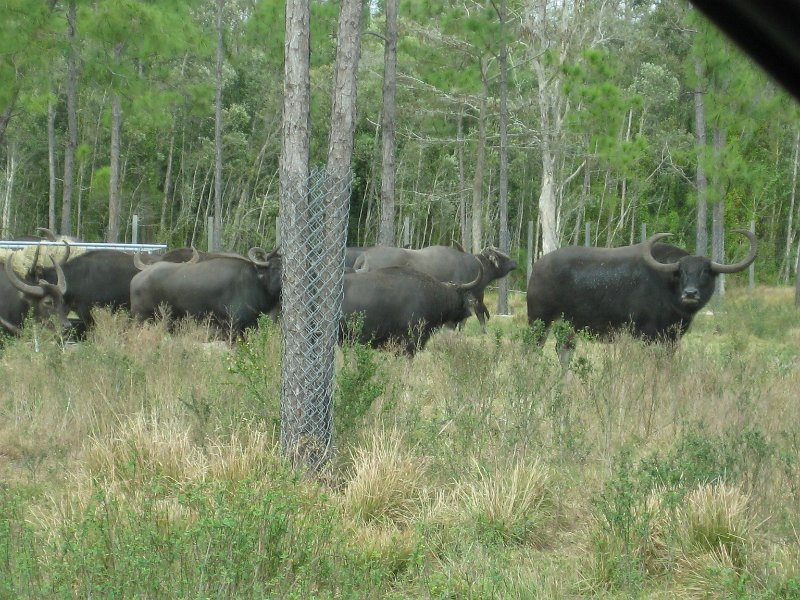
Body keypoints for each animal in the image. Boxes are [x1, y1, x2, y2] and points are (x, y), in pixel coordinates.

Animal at [526, 229, 758, 357]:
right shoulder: (646, 335)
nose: (690, 293)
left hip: (569, 326)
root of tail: (538, 266)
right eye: (681, 272)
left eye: (705, 272)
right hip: (540, 320)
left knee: (564, 350)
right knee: (533, 350)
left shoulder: (671, 339)